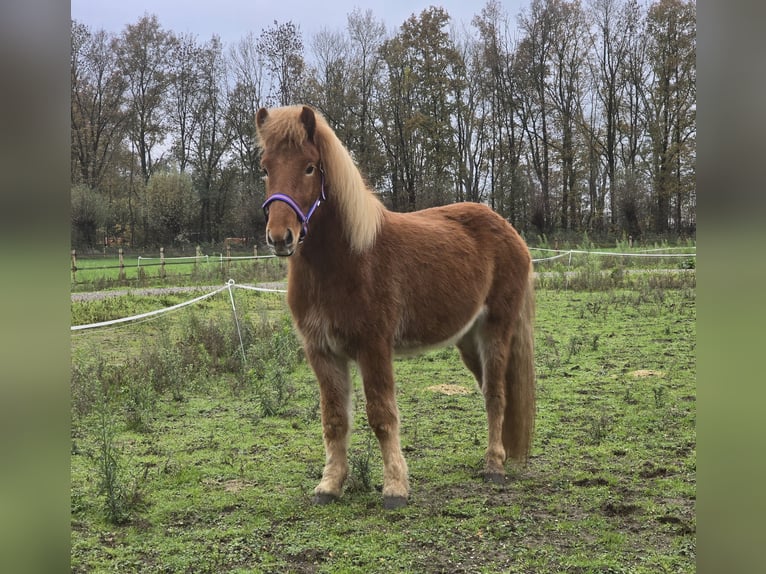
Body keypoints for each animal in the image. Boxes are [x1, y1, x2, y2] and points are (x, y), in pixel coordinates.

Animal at [256, 105, 535, 509]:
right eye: (265, 167)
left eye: (309, 167)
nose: (280, 237)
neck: (345, 260)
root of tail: (510, 231)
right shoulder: (321, 352)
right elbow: (334, 419)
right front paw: (329, 485)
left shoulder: (373, 346)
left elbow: (382, 415)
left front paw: (395, 488)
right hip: (468, 339)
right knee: (488, 392)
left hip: (496, 329)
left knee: (497, 395)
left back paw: (494, 467)